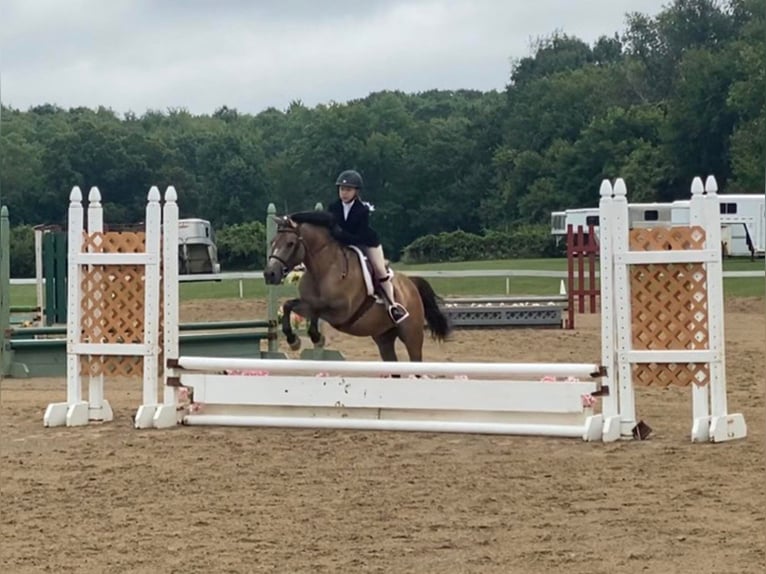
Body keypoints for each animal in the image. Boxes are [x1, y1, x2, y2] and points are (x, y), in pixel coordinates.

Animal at [266, 212, 452, 364]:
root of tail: (411, 283)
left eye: (290, 243)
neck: (324, 269)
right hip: (384, 338)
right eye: (272, 242)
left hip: (412, 335)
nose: (269, 274)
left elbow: (316, 310)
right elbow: (290, 305)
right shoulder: (307, 303)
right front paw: (293, 340)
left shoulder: (341, 311)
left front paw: (315, 337)